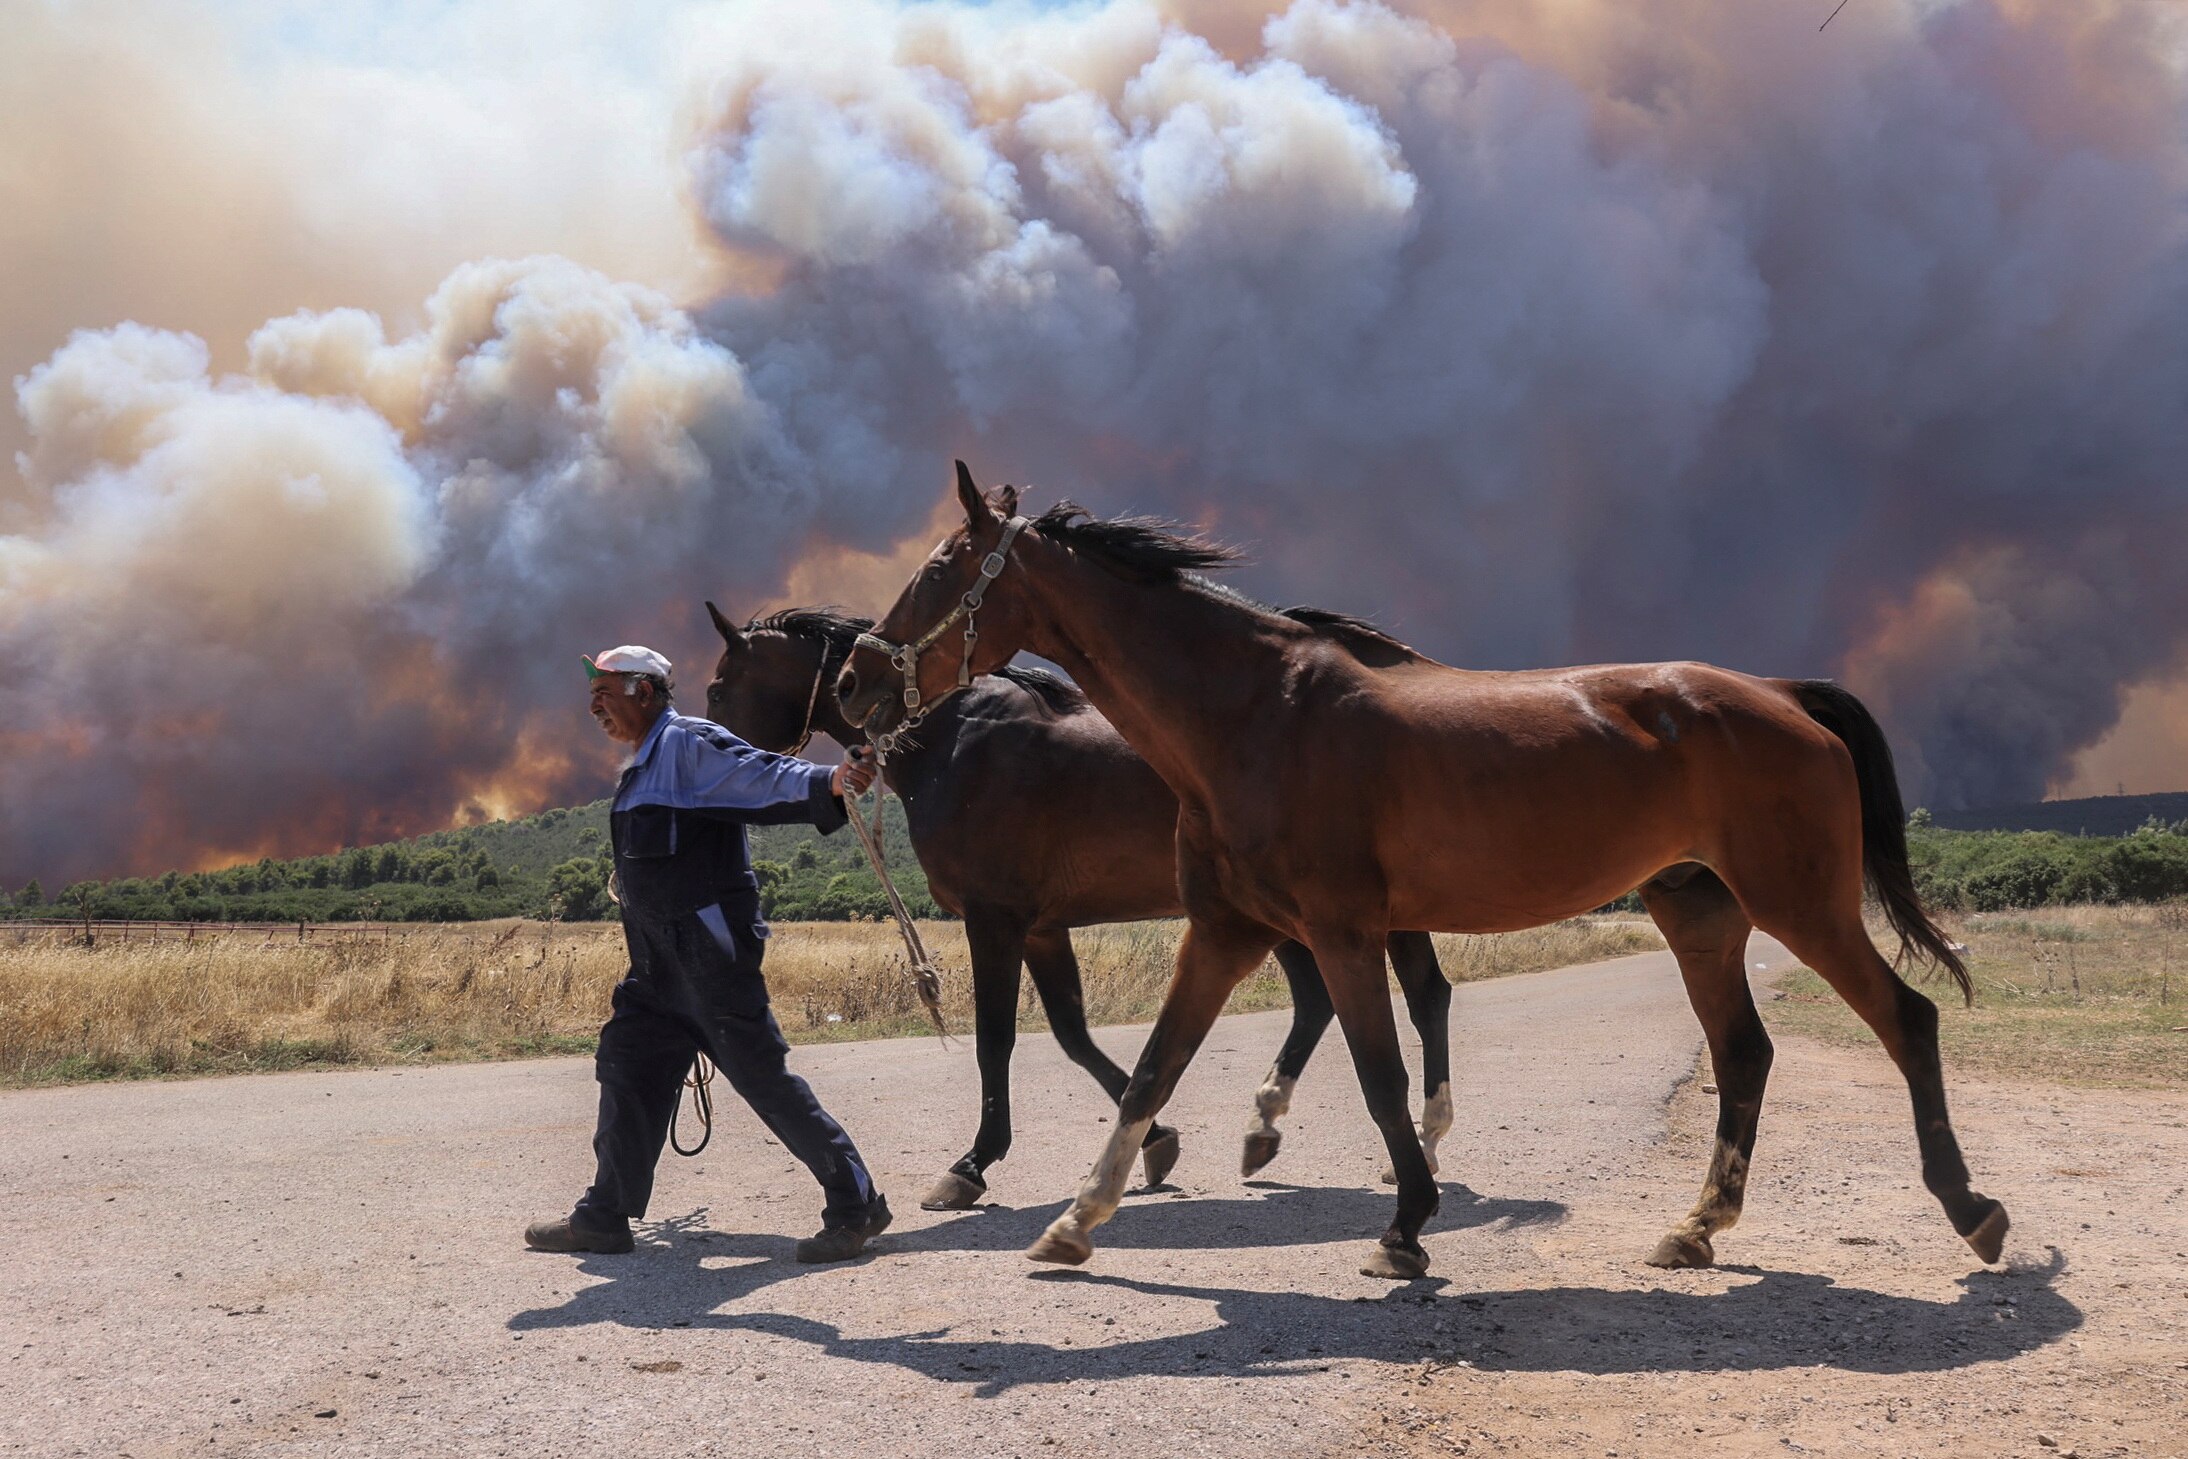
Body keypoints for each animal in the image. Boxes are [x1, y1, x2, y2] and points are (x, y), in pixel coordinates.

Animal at [700, 601, 1457, 1210]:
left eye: (718, 684)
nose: (706, 756)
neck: (951, 741)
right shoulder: (1041, 928)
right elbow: (1073, 1035)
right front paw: (1157, 1138)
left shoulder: (994, 920)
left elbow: (995, 1040)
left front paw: (971, 1164)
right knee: (1322, 1000)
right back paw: (1268, 1127)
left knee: (1424, 995)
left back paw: (1418, 1144)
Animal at [840, 463, 2008, 1280]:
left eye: (941, 567)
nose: (853, 679)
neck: (1254, 716)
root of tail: (1782, 693)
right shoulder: (1222, 931)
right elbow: (1150, 1072)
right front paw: (1077, 1219)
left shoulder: (1341, 933)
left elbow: (1379, 1073)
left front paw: (1404, 1224)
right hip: (1701, 918)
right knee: (1746, 1055)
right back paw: (1696, 1224)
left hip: (1800, 904)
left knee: (1906, 1021)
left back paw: (1972, 1211)